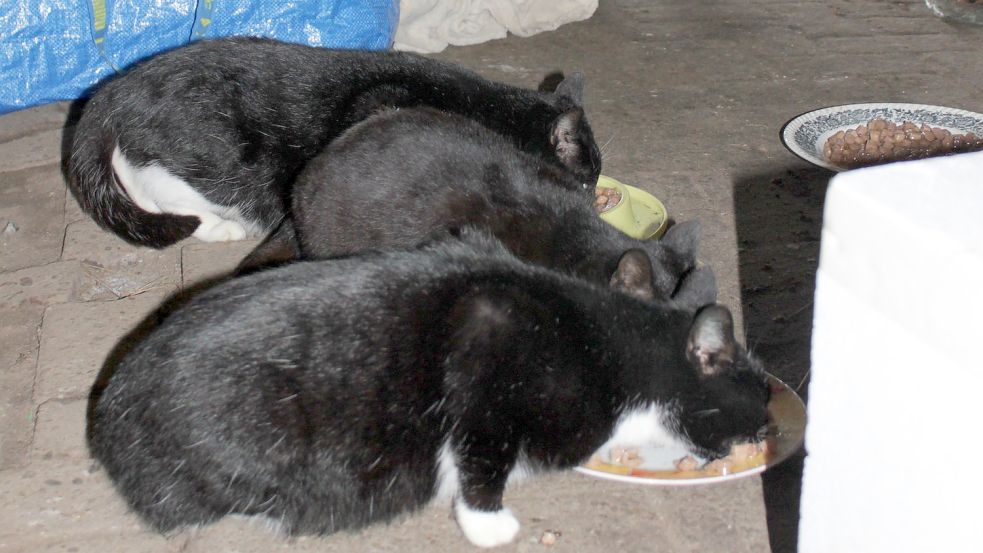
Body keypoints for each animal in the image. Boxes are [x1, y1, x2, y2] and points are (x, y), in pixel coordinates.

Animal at [67, 35, 600, 247]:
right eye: (586, 179)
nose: (595, 197)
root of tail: (110, 93)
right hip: (214, 156)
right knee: (159, 190)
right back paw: (222, 227)